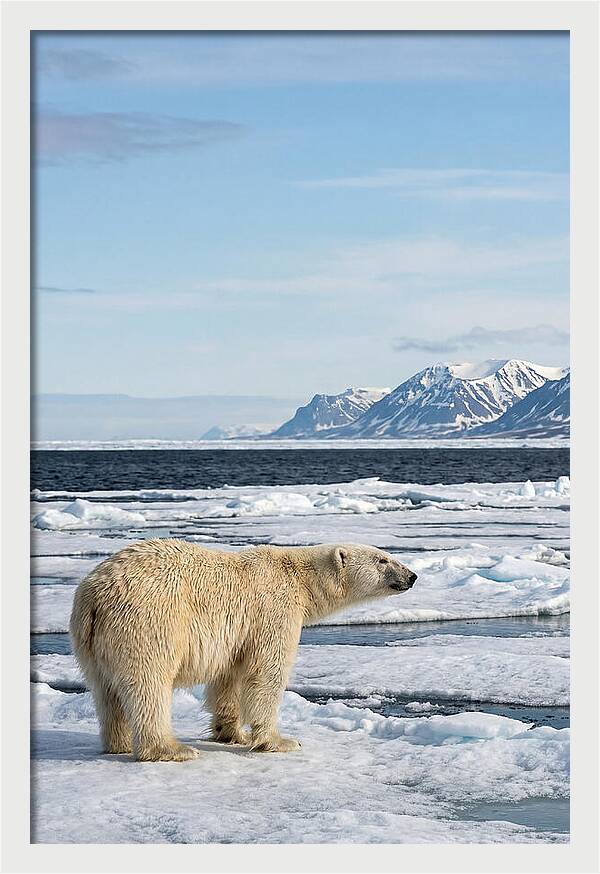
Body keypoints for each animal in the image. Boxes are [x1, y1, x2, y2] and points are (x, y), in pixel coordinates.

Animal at [70, 539, 417, 762]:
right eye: (383, 559)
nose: (412, 576)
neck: (300, 579)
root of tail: (95, 595)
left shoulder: (239, 635)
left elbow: (229, 678)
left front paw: (232, 733)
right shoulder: (273, 610)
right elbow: (267, 672)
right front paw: (280, 740)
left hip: (90, 641)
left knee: (105, 690)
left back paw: (118, 743)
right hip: (148, 621)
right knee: (149, 684)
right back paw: (171, 749)